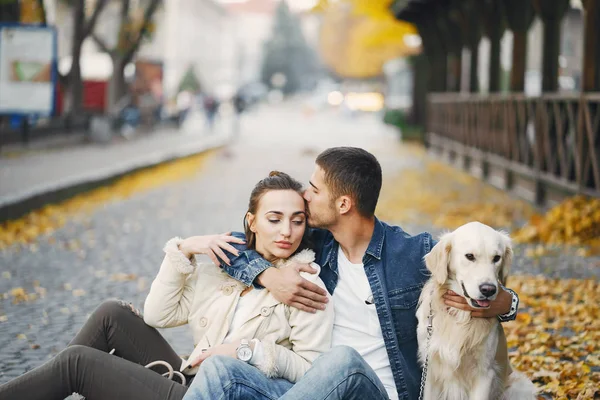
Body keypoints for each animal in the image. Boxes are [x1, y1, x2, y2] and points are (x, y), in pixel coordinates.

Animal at [418, 222, 536, 400]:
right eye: (469, 256)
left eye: (496, 258)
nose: (488, 289)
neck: (461, 317)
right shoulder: (431, 369)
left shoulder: (484, 373)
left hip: (520, 386)